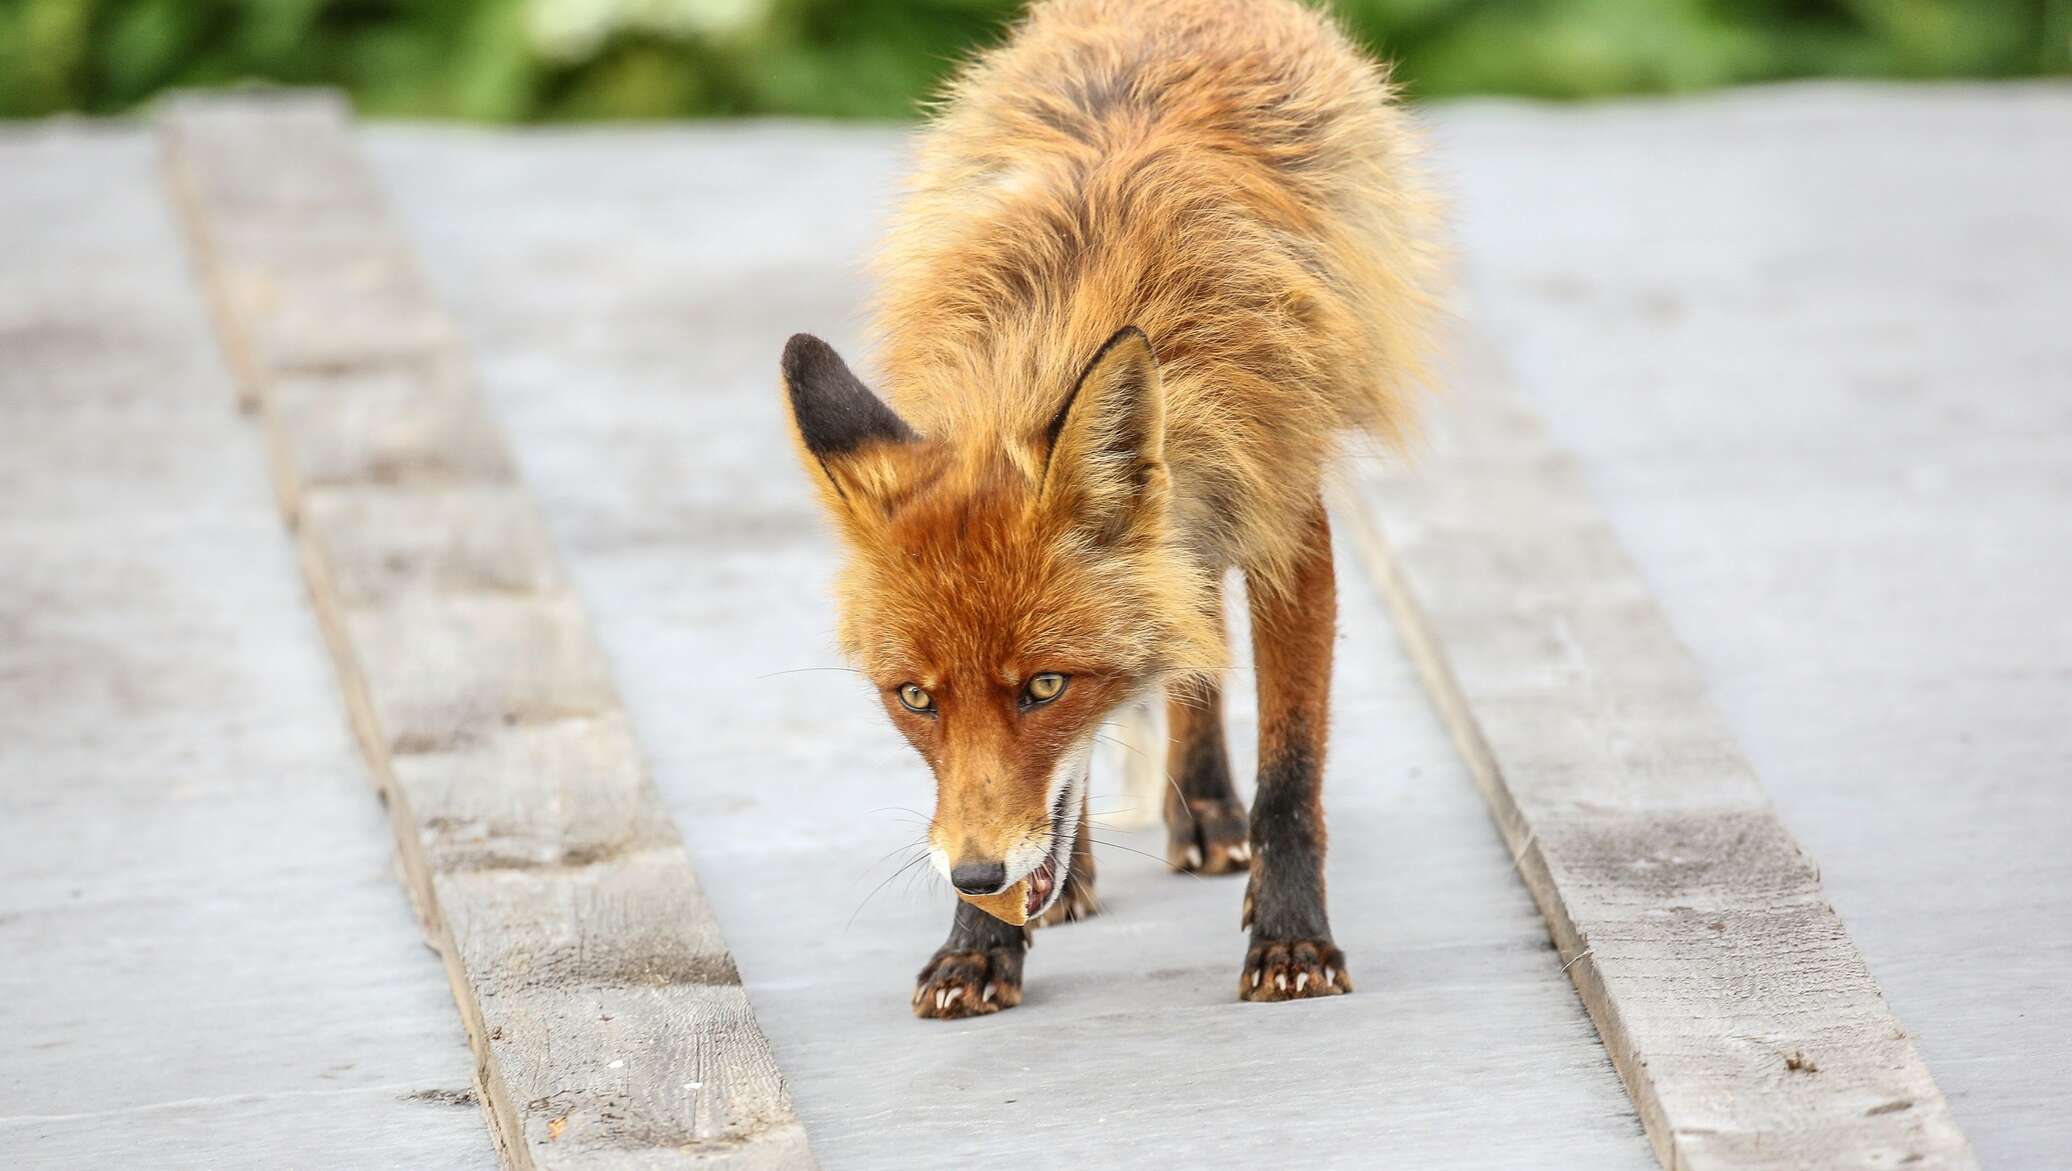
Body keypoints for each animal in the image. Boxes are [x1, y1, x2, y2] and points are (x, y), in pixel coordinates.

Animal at [779, 0, 1442, 1015]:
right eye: (915, 698)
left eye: (1046, 686)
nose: (974, 876)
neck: (1080, 304)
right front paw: (983, 942)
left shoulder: (1286, 521)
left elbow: (1290, 777)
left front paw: (1292, 937)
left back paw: (1204, 809)